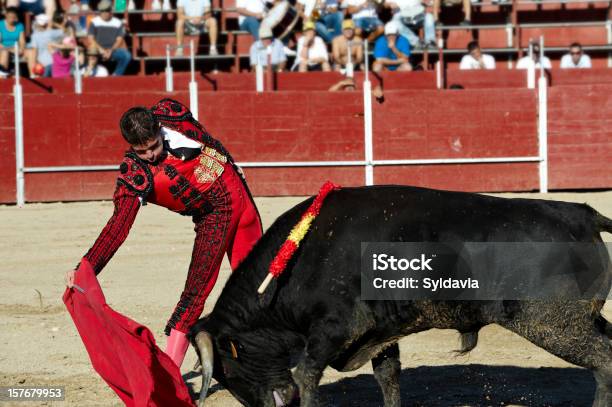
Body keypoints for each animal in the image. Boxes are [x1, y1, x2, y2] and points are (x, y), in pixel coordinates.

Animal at [189, 187, 612, 407]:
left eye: (227, 368)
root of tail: (584, 214)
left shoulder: (333, 329)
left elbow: (307, 374)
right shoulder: (378, 333)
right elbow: (388, 377)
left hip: (552, 323)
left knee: (603, 361)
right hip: (583, 319)